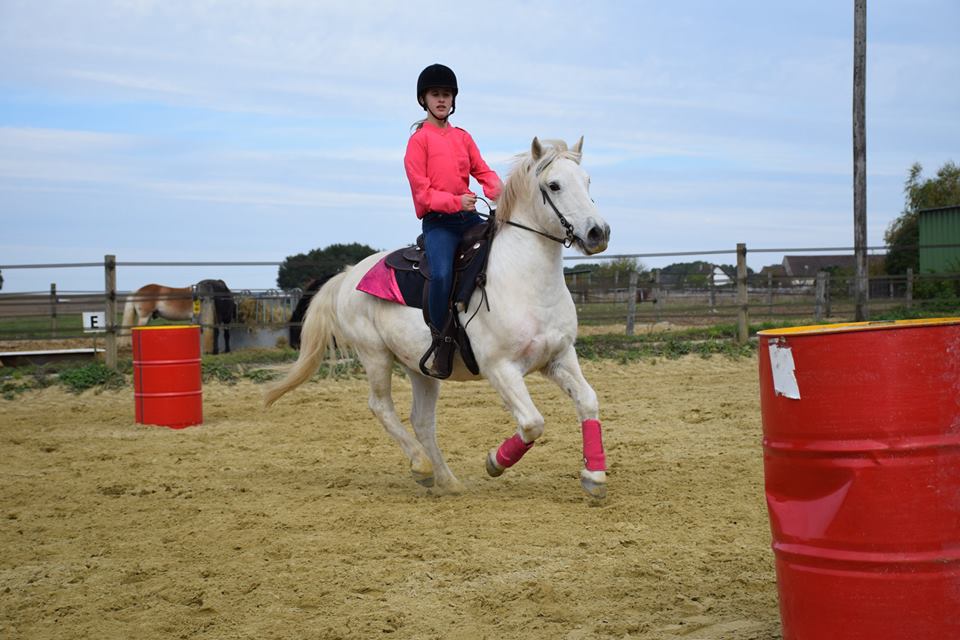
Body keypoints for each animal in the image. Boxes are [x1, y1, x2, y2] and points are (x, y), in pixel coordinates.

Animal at [262, 139, 608, 500]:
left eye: (587, 181)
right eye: (554, 185)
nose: (598, 232)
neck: (525, 280)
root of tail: (348, 274)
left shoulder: (559, 356)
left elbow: (588, 401)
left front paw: (594, 476)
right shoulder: (500, 368)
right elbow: (532, 422)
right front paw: (494, 462)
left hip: (421, 367)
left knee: (422, 421)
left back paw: (447, 480)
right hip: (375, 355)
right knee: (381, 406)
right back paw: (422, 467)